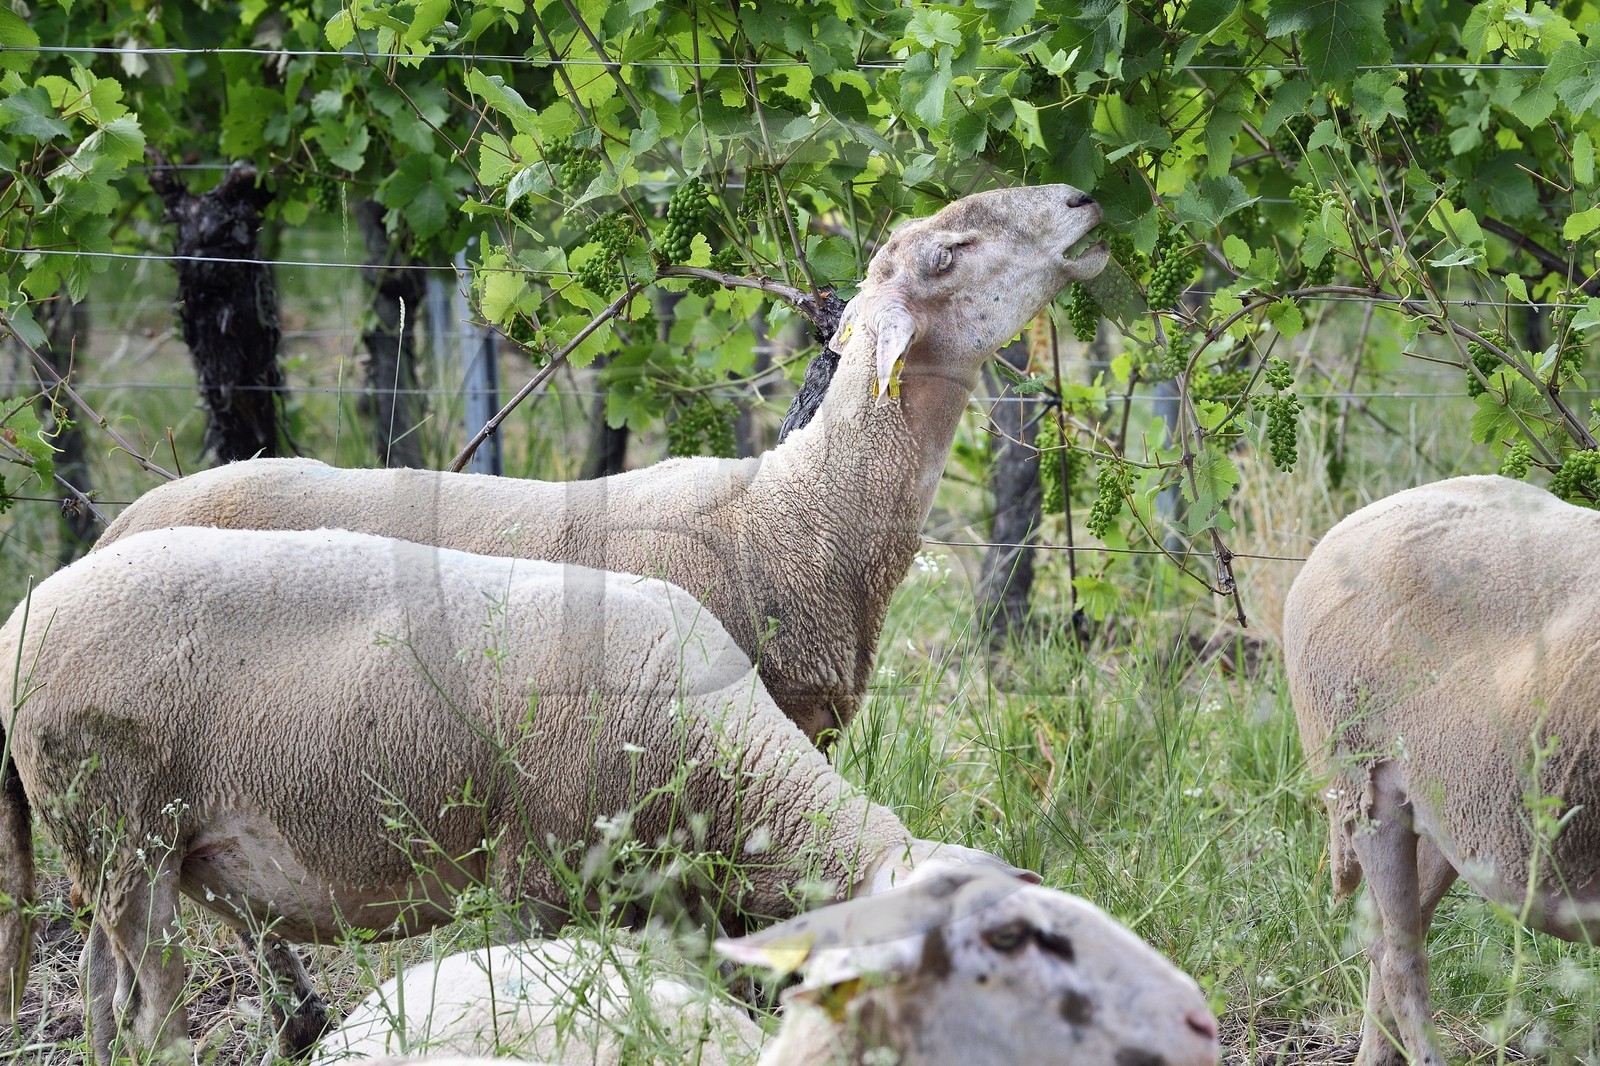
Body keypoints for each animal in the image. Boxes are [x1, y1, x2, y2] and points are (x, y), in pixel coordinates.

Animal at [0, 525, 1034, 1063]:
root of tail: (24, 613)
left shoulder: (673, 901)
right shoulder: (533, 871)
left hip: (108, 845)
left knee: (98, 985)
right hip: (125, 827)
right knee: (154, 1007)